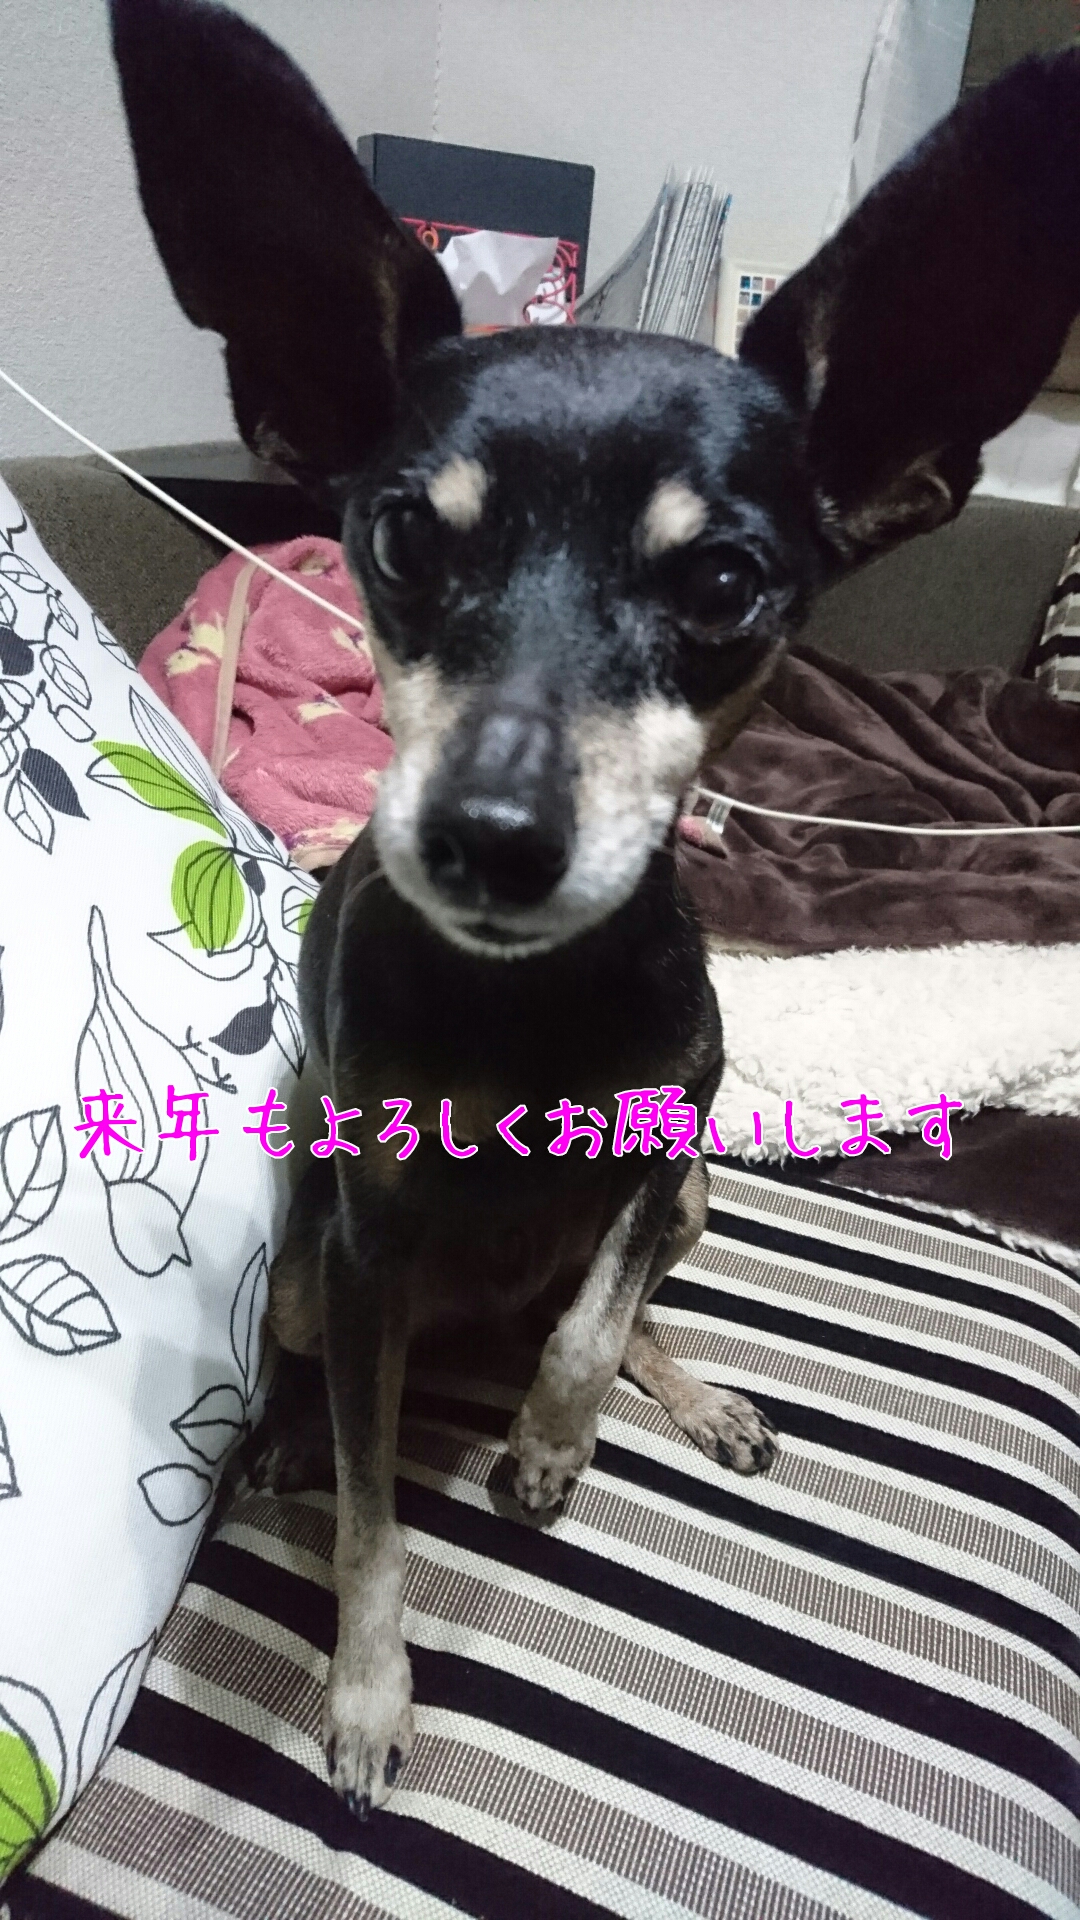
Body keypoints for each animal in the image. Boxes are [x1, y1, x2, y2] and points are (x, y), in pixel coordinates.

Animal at [111, 0, 1080, 1821]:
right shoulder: (365, 1255)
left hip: (692, 1193)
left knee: (620, 1297)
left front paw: (555, 1441)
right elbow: (370, 1517)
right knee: (317, 1383)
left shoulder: (666, 1126)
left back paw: (689, 1399)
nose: (490, 837)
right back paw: (279, 1440)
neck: (529, 1008)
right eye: (402, 540)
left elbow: (595, 1311)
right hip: (313, 1269)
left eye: (724, 585)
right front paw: (368, 1691)